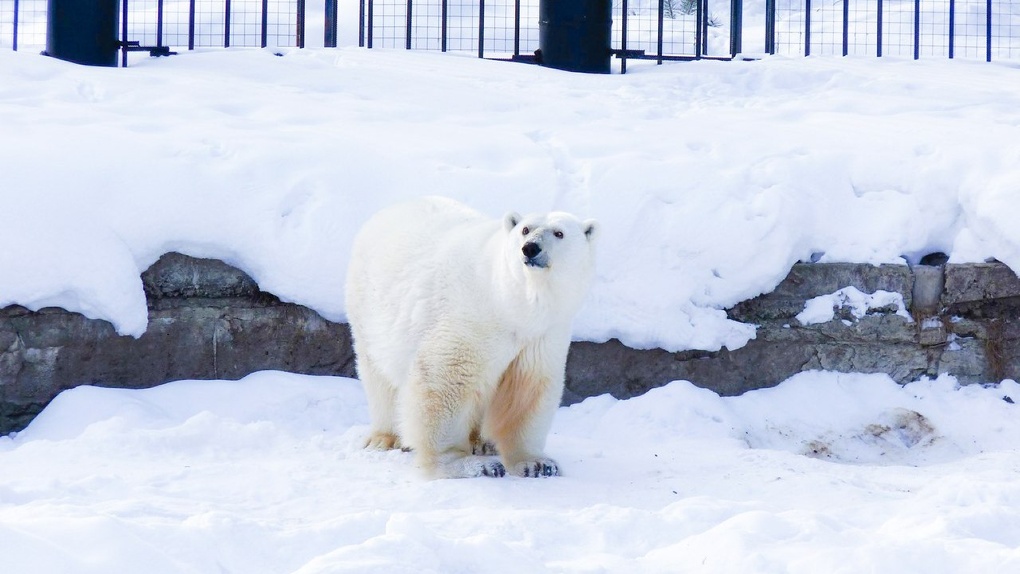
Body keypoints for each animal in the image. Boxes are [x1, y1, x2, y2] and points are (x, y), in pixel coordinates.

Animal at [346, 195, 595, 479]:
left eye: (559, 233)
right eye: (525, 229)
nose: (530, 248)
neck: (513, 302)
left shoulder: (543, 334)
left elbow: (527, 388)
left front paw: (537, 464)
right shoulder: (474, 316)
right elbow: (447, 378)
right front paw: (467, 463)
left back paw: (481, 442)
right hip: (369, 308)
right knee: (379, 375)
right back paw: (384, 437)